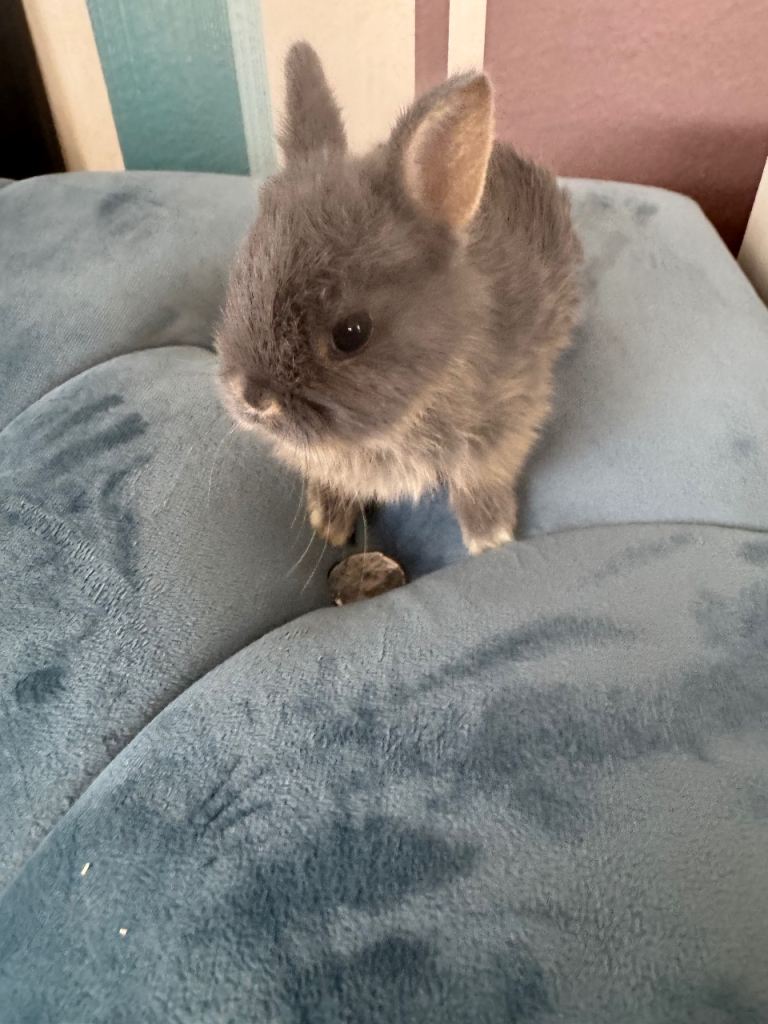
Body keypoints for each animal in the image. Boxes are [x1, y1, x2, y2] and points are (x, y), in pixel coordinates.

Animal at [217, 42, 582, 554]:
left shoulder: (507, 420)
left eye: (351, 333)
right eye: (241, 278)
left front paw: (491, 538)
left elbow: (480, 479)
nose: (252, 397)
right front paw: (328, 520)